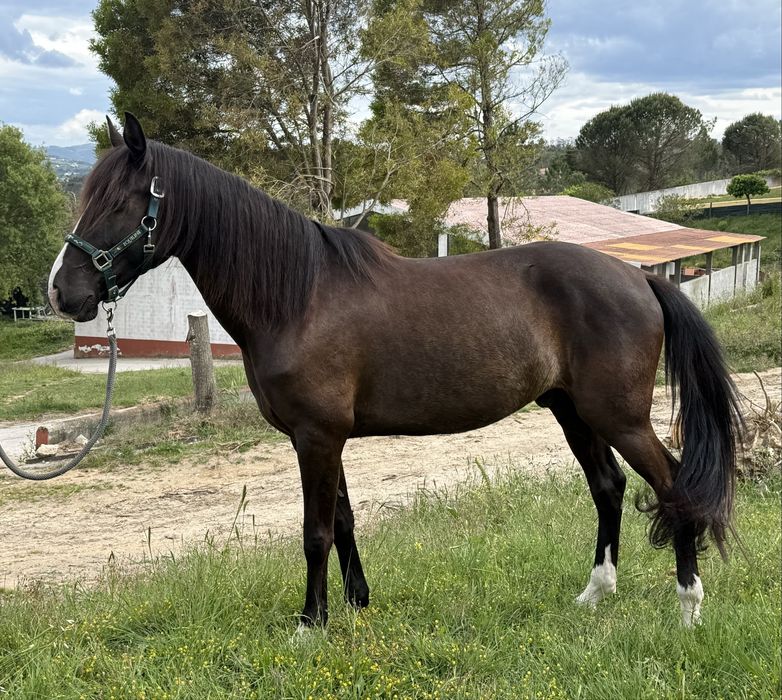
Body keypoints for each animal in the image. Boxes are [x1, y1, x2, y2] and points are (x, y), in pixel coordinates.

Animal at [48, 113, 742, 628]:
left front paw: (311, 623)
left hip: (618, 417)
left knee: (672, 485)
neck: (299, 297)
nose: (63, 291)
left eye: (120, 202)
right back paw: (595, 594)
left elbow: (315, 531)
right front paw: (357, 605)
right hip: (573, 411)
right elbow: (344, 522)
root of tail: (639, 277)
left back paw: (688, 606)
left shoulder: (317, 438)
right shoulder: (323, 438)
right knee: (608, 487)